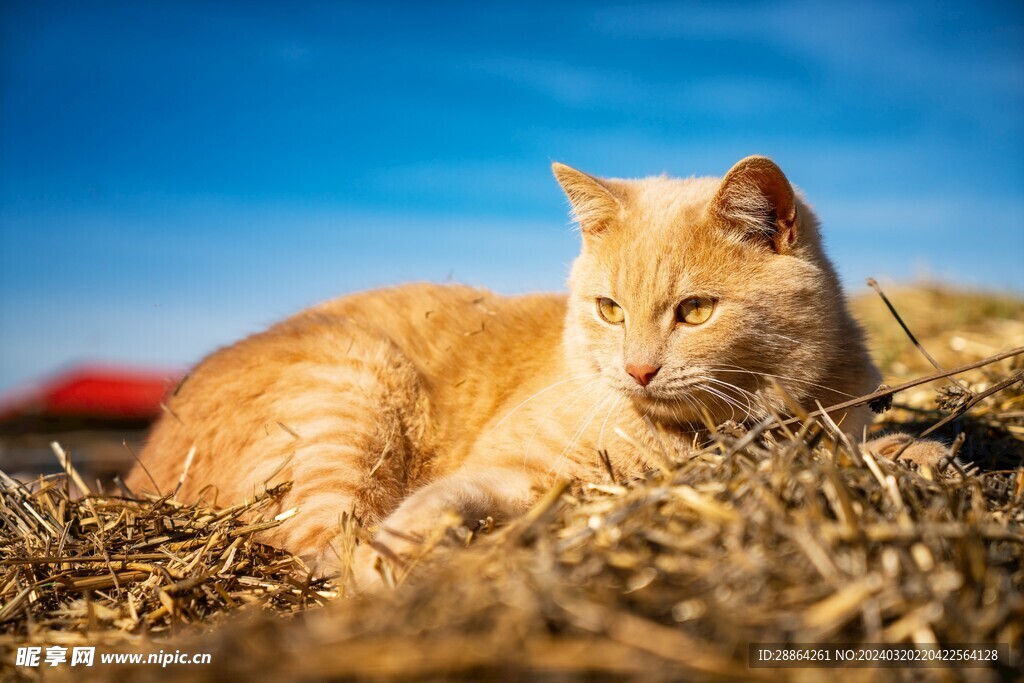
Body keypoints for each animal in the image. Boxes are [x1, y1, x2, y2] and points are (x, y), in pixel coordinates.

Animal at [130, 156, 950, 589]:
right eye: (610, 309)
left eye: (693, 311)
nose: (638, 369)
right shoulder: (510, 467)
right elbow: (439, 502)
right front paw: (410, 546)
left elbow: (878, 447)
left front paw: (918, 454)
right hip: (353, 385)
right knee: (320, 543)